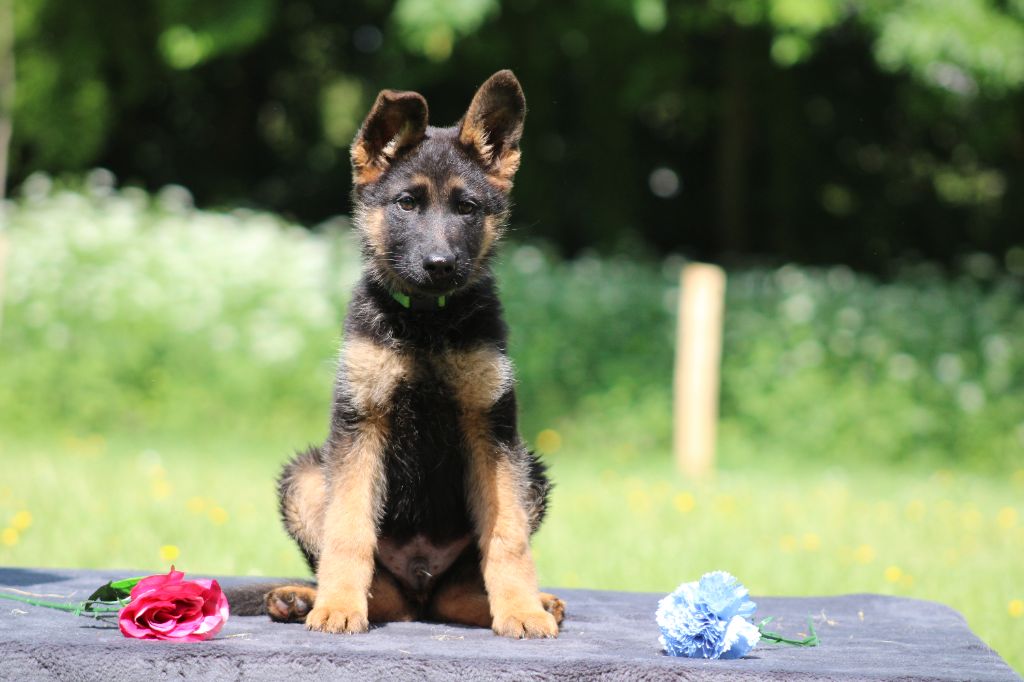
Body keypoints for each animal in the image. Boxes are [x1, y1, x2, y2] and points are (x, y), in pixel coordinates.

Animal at [227, 71, 564, 639]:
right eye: (407, 203)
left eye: (467, 208)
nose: (440, 264)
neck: (427, 322)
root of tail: (419, 586)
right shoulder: (362, 422)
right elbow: (347, 532)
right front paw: (338, 606)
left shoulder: (492, 427)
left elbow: (508, 537)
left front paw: (520, 609)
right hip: (306, 476)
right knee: (382, 591)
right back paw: (307, 599)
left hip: (530, 473)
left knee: (455, 594)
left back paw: (533, 602)